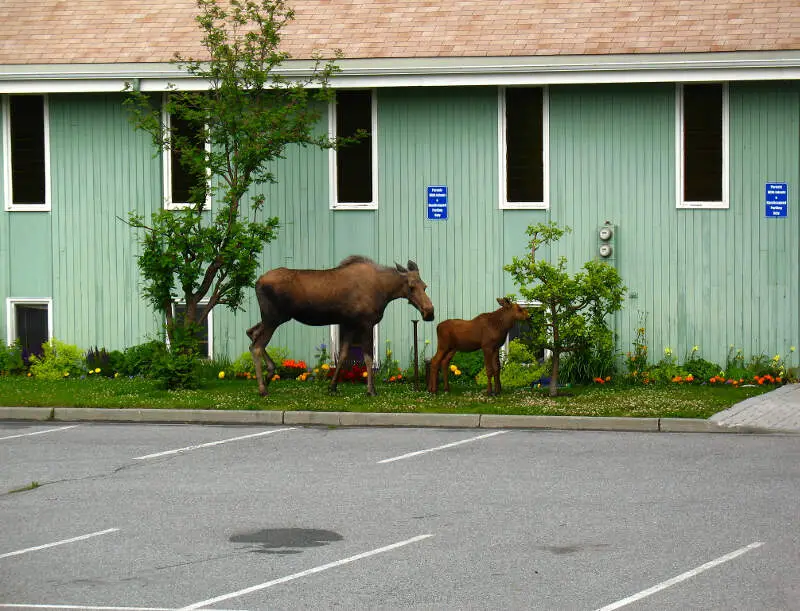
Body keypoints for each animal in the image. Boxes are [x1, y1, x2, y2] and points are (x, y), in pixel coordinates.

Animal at [247, 256, 434, 396]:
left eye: (425, 286)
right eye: (411, 287)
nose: (429, 312)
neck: (386, 292)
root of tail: (257, 282)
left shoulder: (349, 324)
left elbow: (343, 355)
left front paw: (332, 386)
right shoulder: (365, 323)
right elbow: (368, 358)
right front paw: (371, 390)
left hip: (272, 318)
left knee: (251, 333)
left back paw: (269, 375)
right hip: (273, 318)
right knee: (256, 345)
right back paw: (263, 388)